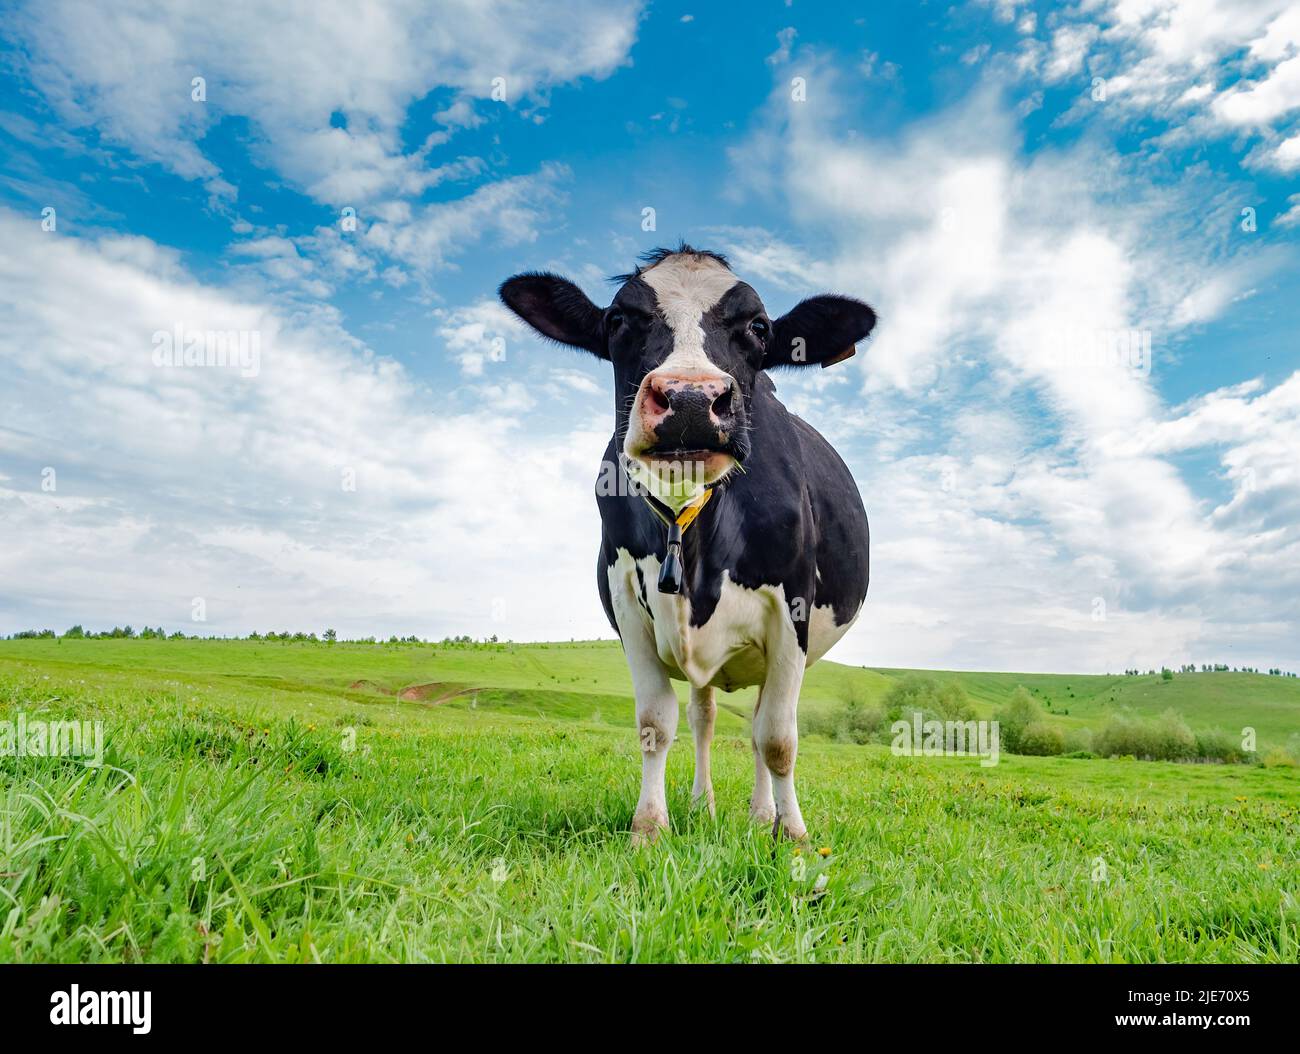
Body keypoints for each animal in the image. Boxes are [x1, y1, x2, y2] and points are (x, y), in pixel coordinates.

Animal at [499, 245, 875, 843]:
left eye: (759, 327)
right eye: (618, 320)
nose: (692, 399)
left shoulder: (791, 611)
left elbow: (778, 738)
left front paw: (793, 835)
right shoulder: (629, 604)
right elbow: (656, 723)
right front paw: (649, 827)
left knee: (760, 724)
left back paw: (762, 814)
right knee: (705, 717)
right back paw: (704, 805)